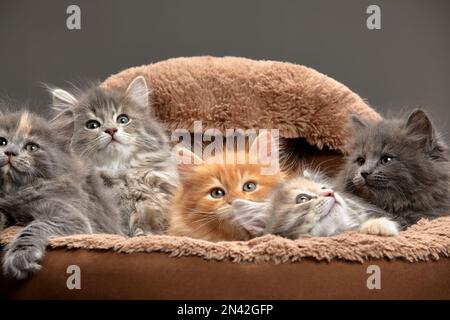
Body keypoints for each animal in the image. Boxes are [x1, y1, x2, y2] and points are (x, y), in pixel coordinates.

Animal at [0, 110, 123, 280]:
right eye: (2, 141)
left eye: (32, 147)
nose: (10, 152)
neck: (15, 190)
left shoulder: (69, 215)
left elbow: (33, 228)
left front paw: (20, 257)